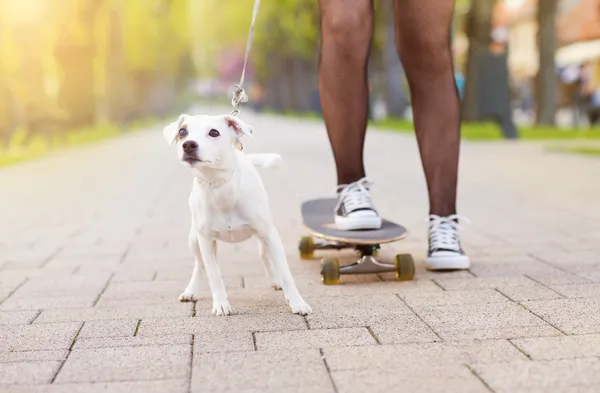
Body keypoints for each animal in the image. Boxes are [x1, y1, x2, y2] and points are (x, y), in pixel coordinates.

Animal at [163, 112, 312, 316]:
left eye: (214, 132)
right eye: (182, 132)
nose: (189, 144)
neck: (219, 186)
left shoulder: (270, 235)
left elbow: (287, 274)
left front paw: (297, 303)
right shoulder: (206, 241)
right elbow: (213, 274)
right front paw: (220, 304)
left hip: (266, 236)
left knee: (264, 255)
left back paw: (275, 280)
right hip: (194, 239)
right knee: (200, 265)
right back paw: (191, 291)